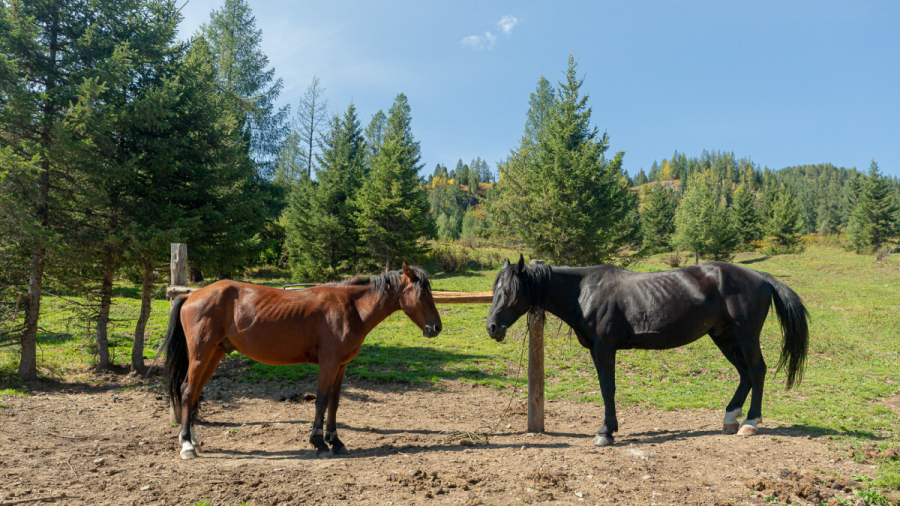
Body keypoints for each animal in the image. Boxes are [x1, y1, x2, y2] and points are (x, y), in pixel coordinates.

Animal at [164, 262, 442, 460]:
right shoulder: (329, 363)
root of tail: (191, 295)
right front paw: (319, 442)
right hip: (201, 354)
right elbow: (321, 401)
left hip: (214, 355)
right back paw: (187, 444)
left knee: (195, 391)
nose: (436, 328)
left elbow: (334, 403)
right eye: (421, 293)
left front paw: (335, 441)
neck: (349, 308)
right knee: (187, 390)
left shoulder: (341, 366)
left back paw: (191, 438)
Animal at [488, 255, 812, 444]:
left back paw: (750, 423)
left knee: (756, 371)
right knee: (745, 374)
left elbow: (607, 388)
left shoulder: (605, 348)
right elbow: (606, 387)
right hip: (724, 336)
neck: (585, 292)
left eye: (510, 292)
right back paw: (730, 418)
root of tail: (761, 276)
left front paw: (606, 432)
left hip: (745, 335)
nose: (492, 327)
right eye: (495, 290)